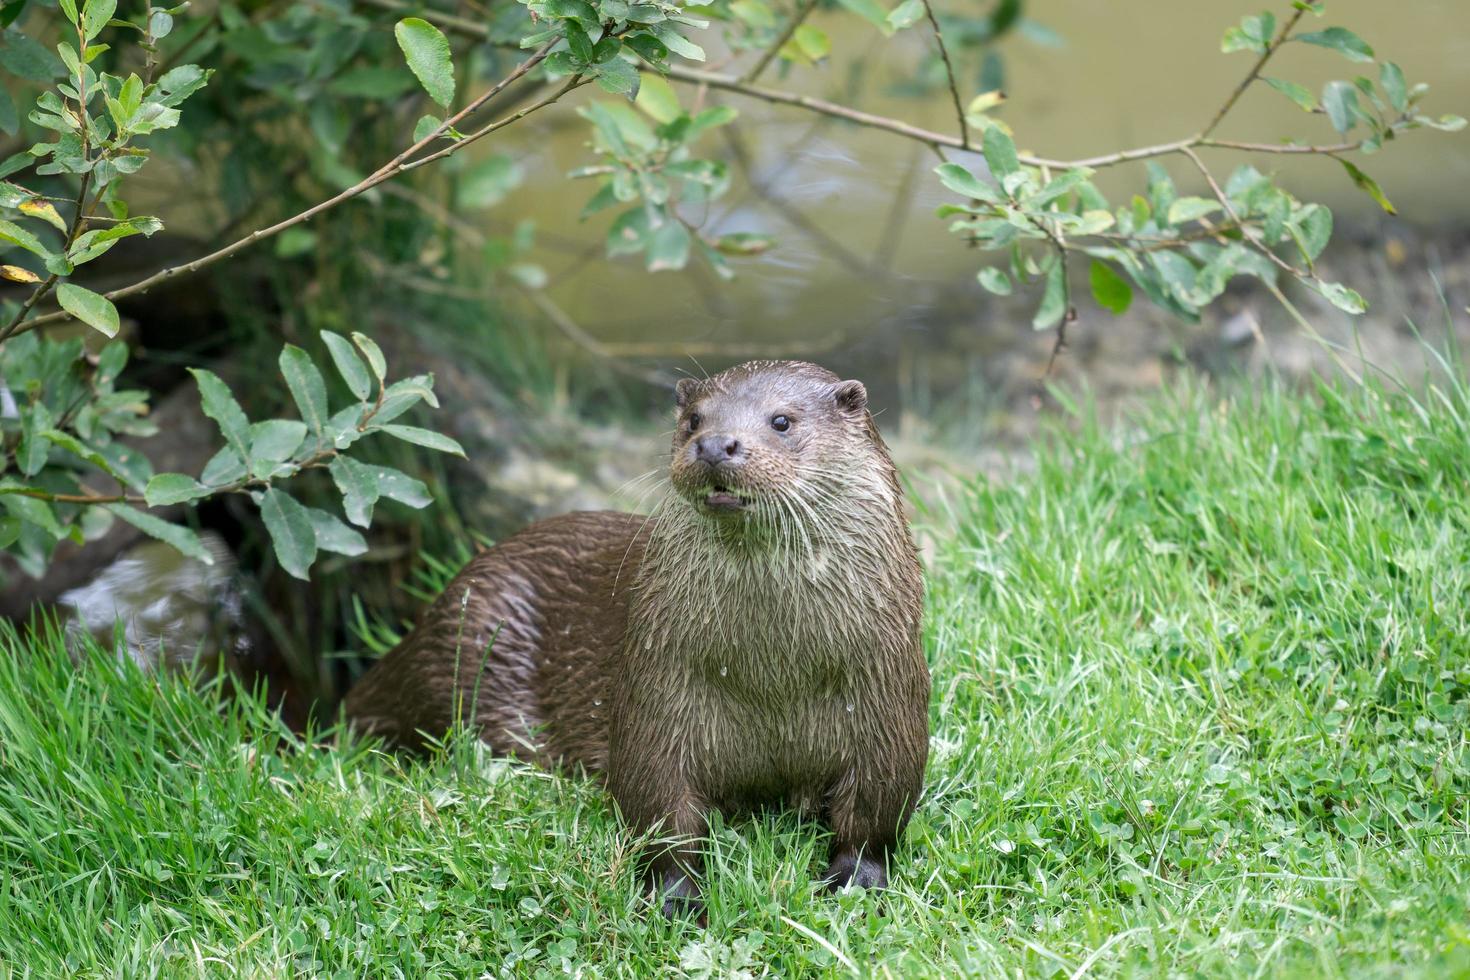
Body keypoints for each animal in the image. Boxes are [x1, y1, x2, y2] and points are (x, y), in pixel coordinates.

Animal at [341, 362, 929, 922]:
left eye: (782, 421)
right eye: (693, 419)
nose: (715, 443)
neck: (772, 675)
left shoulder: (885, 689)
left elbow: (877, 807)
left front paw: (855, 882)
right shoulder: (658, 684)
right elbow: (659, 805)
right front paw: (675, 898)